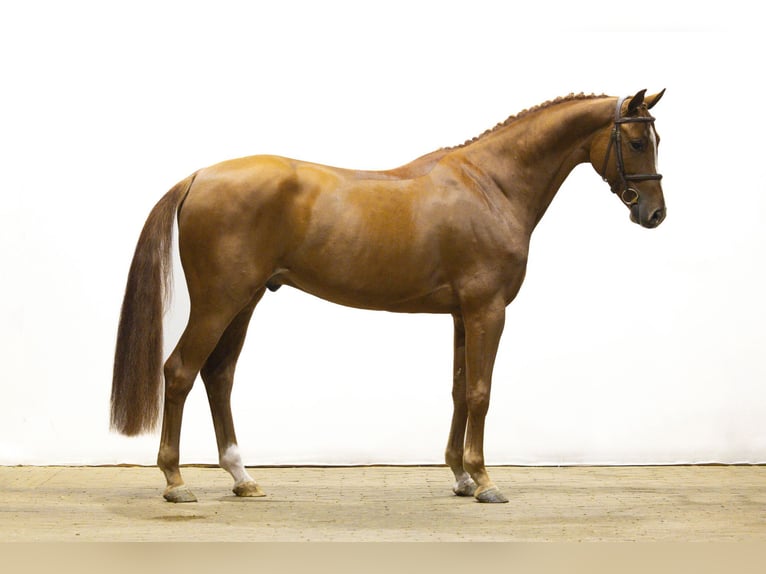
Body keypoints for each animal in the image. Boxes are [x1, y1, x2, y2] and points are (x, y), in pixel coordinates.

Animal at [111, 89, 666, 504]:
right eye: (638, 140)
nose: (655, 213)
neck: (491, 185)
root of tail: (198, 176)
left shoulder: (462, 314)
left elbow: (459, 389)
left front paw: (461, 477)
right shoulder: (487, 310)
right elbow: (481, 393)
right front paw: (485, 481)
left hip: (243, 302)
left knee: (218, 376)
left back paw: (242, 478)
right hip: (219, 302)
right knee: (180, 372)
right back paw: (176, 481)